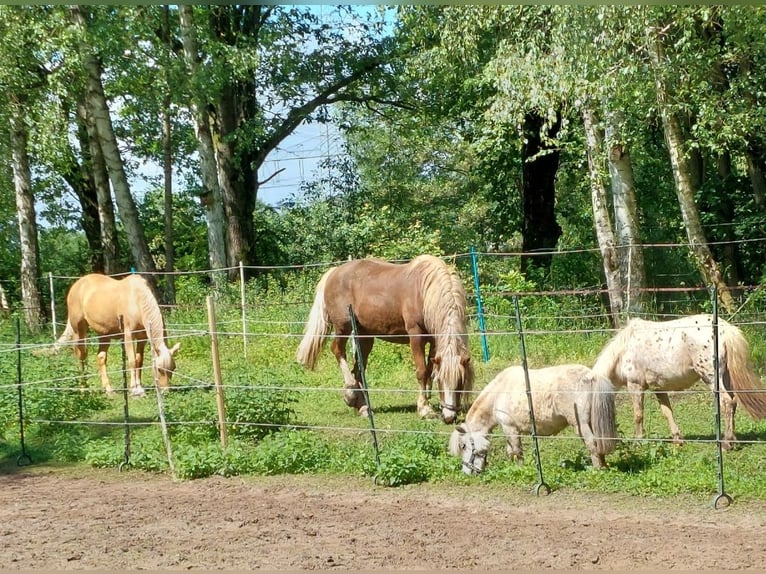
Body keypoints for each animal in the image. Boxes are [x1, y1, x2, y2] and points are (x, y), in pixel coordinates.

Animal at [296, 255, 472, 424]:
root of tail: (334, 272)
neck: (425, 292)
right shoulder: (416, 335)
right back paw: (350, 394)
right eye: (441, 380)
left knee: (358, 369)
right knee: (338, 351)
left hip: (364, 336)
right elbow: (422, 371)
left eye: (461, 381)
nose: (449, 417)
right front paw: (424, 409)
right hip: (343, 327)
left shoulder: (435, 340)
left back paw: (363, 407)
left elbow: (429, 370)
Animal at [450, 364, 616, 476]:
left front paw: (520, 469)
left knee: (592, 444)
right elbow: (510, 451)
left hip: (580, 425)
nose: (466, 472)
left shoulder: (510, 428)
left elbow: (517, 451)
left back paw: (597, 470)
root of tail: (591, 376)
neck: (499, 393)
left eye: (463, 446)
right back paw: (604, 467)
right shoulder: (509, 431)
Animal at [592, 312, 766, 452]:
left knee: (727, 402)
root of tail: (726, 329)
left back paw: (726, 443)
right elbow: (667, 412)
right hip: (726, 378)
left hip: (711, 377)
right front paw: (677, 440)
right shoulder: (659, 389)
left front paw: (638, 442)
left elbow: (638, 415)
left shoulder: (635, 386)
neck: (624, 350)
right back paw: (733, 439)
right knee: (733, 402)